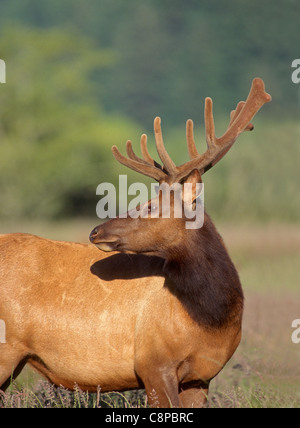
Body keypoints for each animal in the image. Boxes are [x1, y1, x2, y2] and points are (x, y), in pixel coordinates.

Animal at [0, 77, 270, 408]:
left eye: (151, 206)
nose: (96, 231)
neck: (212, 319)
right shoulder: (152, 362)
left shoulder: (201, 377)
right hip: (5, 349)